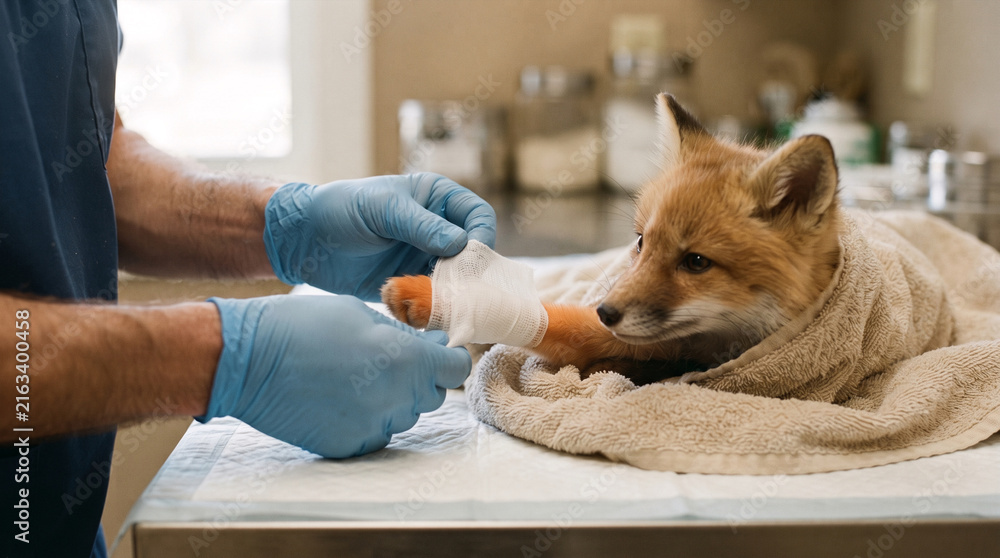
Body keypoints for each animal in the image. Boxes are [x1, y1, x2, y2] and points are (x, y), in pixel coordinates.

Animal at [381, 93, 842, 385]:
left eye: (696, 262)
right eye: (640, 242)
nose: (605, 310)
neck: (713, 345)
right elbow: (552, 318)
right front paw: (428, 297)